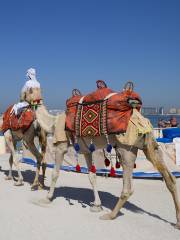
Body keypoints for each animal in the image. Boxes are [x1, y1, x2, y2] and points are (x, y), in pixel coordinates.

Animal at [34, 104, 180, 229]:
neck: (53, 122)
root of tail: (143, 121)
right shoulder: (86, 151)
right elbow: (92, 176)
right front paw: (96, 205)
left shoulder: (61, 145)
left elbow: (55, 173)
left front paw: (47, 198)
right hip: (148, 145)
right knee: (170, 178)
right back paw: (177, 222)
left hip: (126, 147)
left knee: (128, 187)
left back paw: (111, 215)